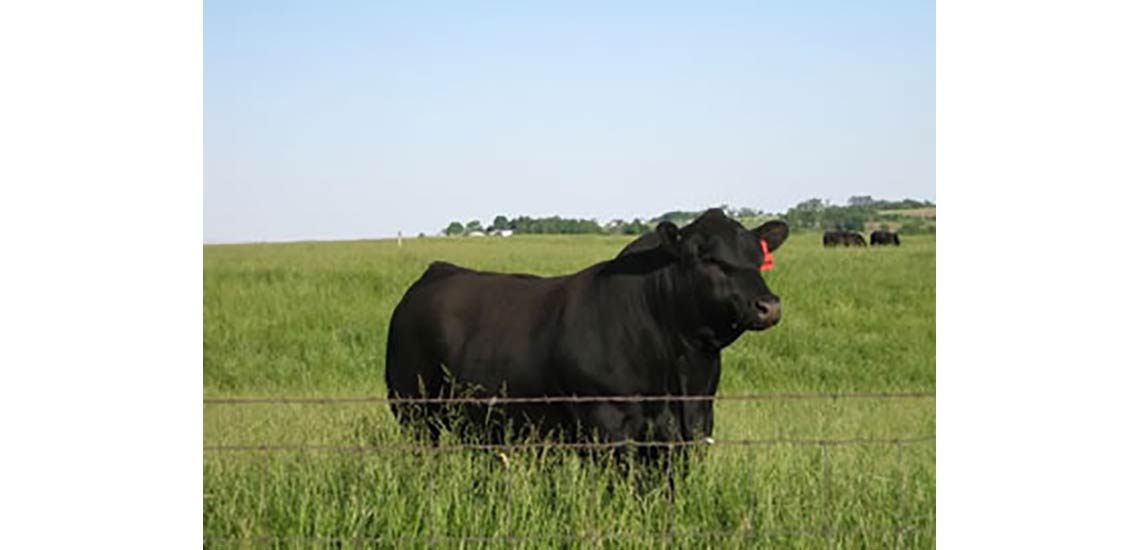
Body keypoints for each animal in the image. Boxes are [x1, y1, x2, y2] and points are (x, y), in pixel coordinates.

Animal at [387, 208, 788, 458]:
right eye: (709, 258)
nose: (768, 305)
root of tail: (438, 271)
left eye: (758, 259)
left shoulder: (696, 419)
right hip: (414, 410)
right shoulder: (606, 421)